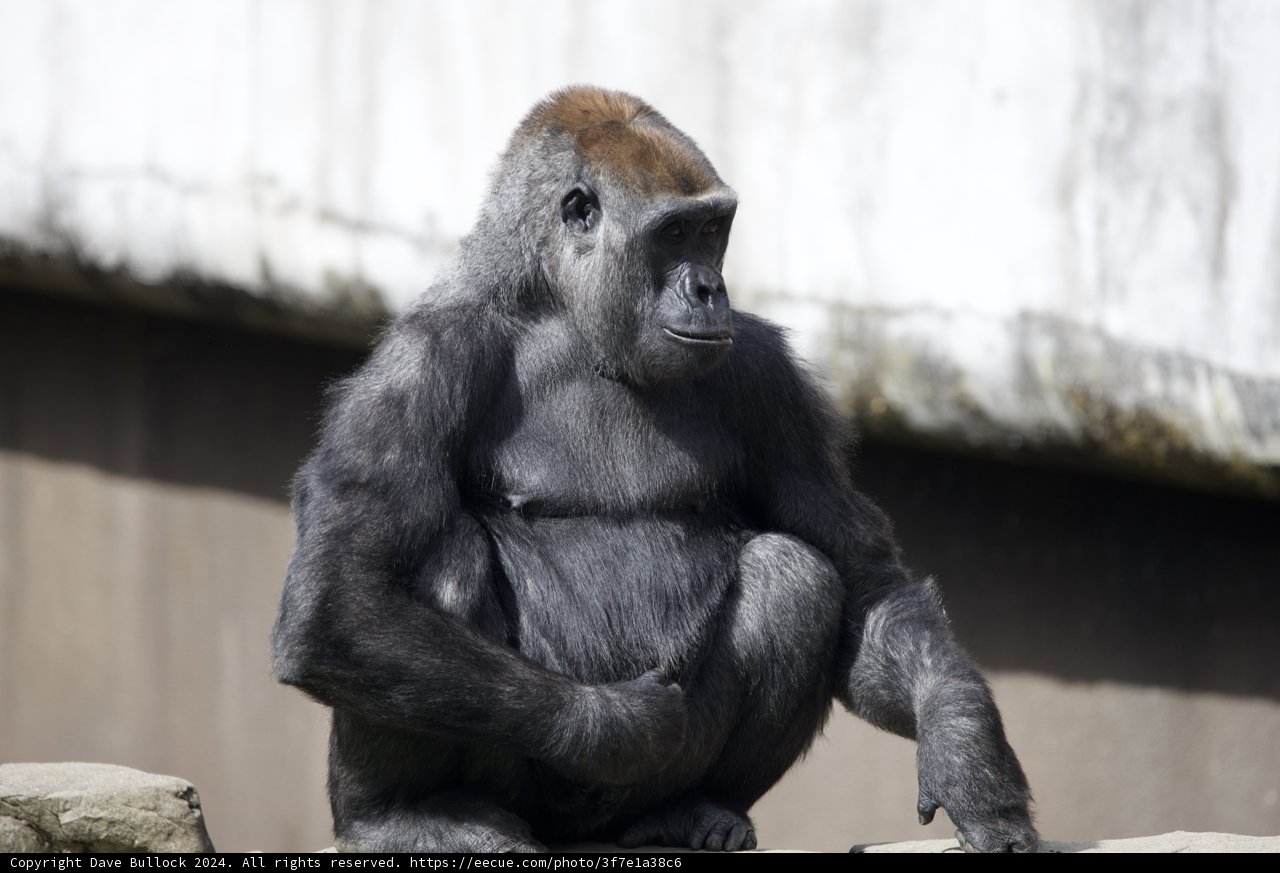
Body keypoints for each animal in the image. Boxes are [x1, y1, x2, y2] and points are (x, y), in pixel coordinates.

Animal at [270, 85, 1038, 853]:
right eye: (673, 235)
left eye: (711, 230)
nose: (709, 289)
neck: (564, 311)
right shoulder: (419, 362)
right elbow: (340, 601)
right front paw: (614, 727)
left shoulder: (767, 376)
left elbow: (867, 583)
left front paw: (965, 749)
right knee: (437, 559)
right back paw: (401, 814)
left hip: (629, 806)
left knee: (795, 579)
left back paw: (693, 808)